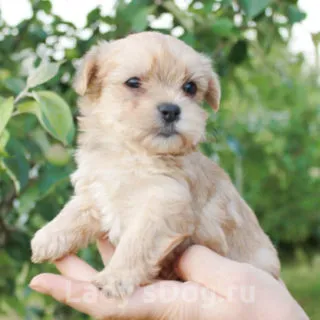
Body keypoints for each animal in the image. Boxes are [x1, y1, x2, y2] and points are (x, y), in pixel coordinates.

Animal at [31, 31, 278, 298]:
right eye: (133, 82)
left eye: (190, 87)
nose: (171, 110)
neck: (131, 153)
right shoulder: (97, 190)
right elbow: (74, 211)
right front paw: (48, 237)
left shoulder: (163, 204)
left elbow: (136, 243)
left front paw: (115, 276)